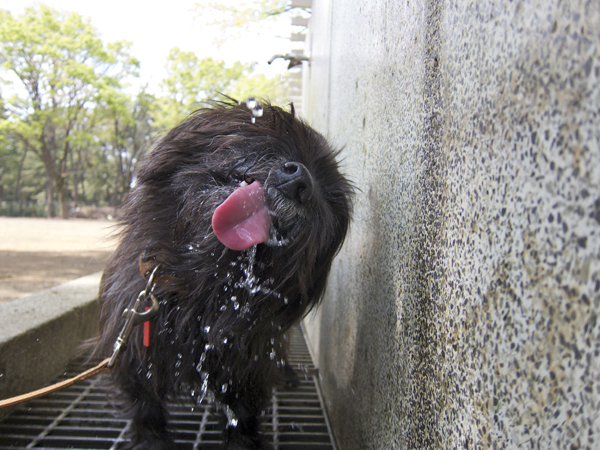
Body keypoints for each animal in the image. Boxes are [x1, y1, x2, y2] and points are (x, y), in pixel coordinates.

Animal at [94, 100, 354, 448]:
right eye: (277, 140)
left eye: (326, 194)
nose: (302, 182)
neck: (200, 287)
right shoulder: (133, 339)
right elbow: (144, 403)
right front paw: (151, 441)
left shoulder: (247, 357)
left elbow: (243, 410)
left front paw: (243, 441)